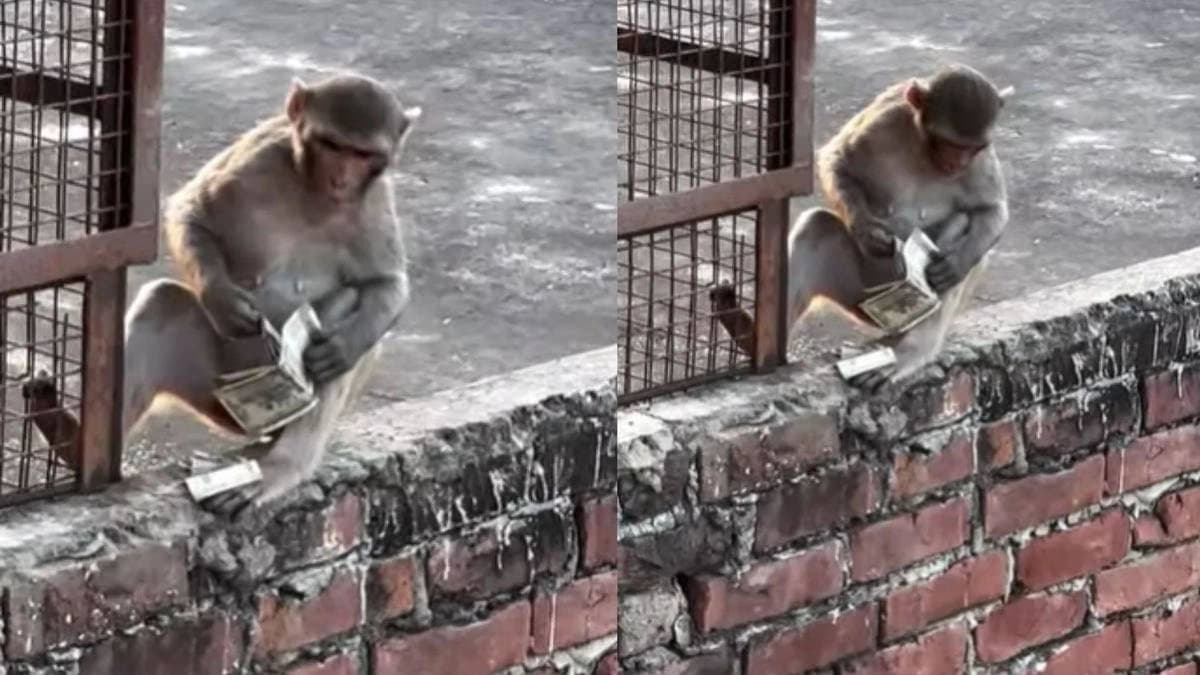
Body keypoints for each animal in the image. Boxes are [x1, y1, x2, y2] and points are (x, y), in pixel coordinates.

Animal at [21, 72, 422, 517]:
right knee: (161, 303)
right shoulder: (260, 155)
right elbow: (192, 212)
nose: (342, 178)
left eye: (363, 154)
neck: (312, 190)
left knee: (344, 311)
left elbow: (387, 284)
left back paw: (282, 466)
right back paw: (70, 441)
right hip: (210, 384)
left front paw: (341, 348)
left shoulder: (375, 198)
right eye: (332, 144)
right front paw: (224, 301)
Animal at [712, 63, 1009, 391]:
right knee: (816, 228)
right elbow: (838, 160)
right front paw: (868, 232)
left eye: (972, 147)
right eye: (948, 143)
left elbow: (992, 210)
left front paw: (955, 265)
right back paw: (747, 334)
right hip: (860, 288)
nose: (957, 162)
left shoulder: (981, 159)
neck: (924, 151)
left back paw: (911, 350)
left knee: (962, 223)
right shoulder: (885, 119)